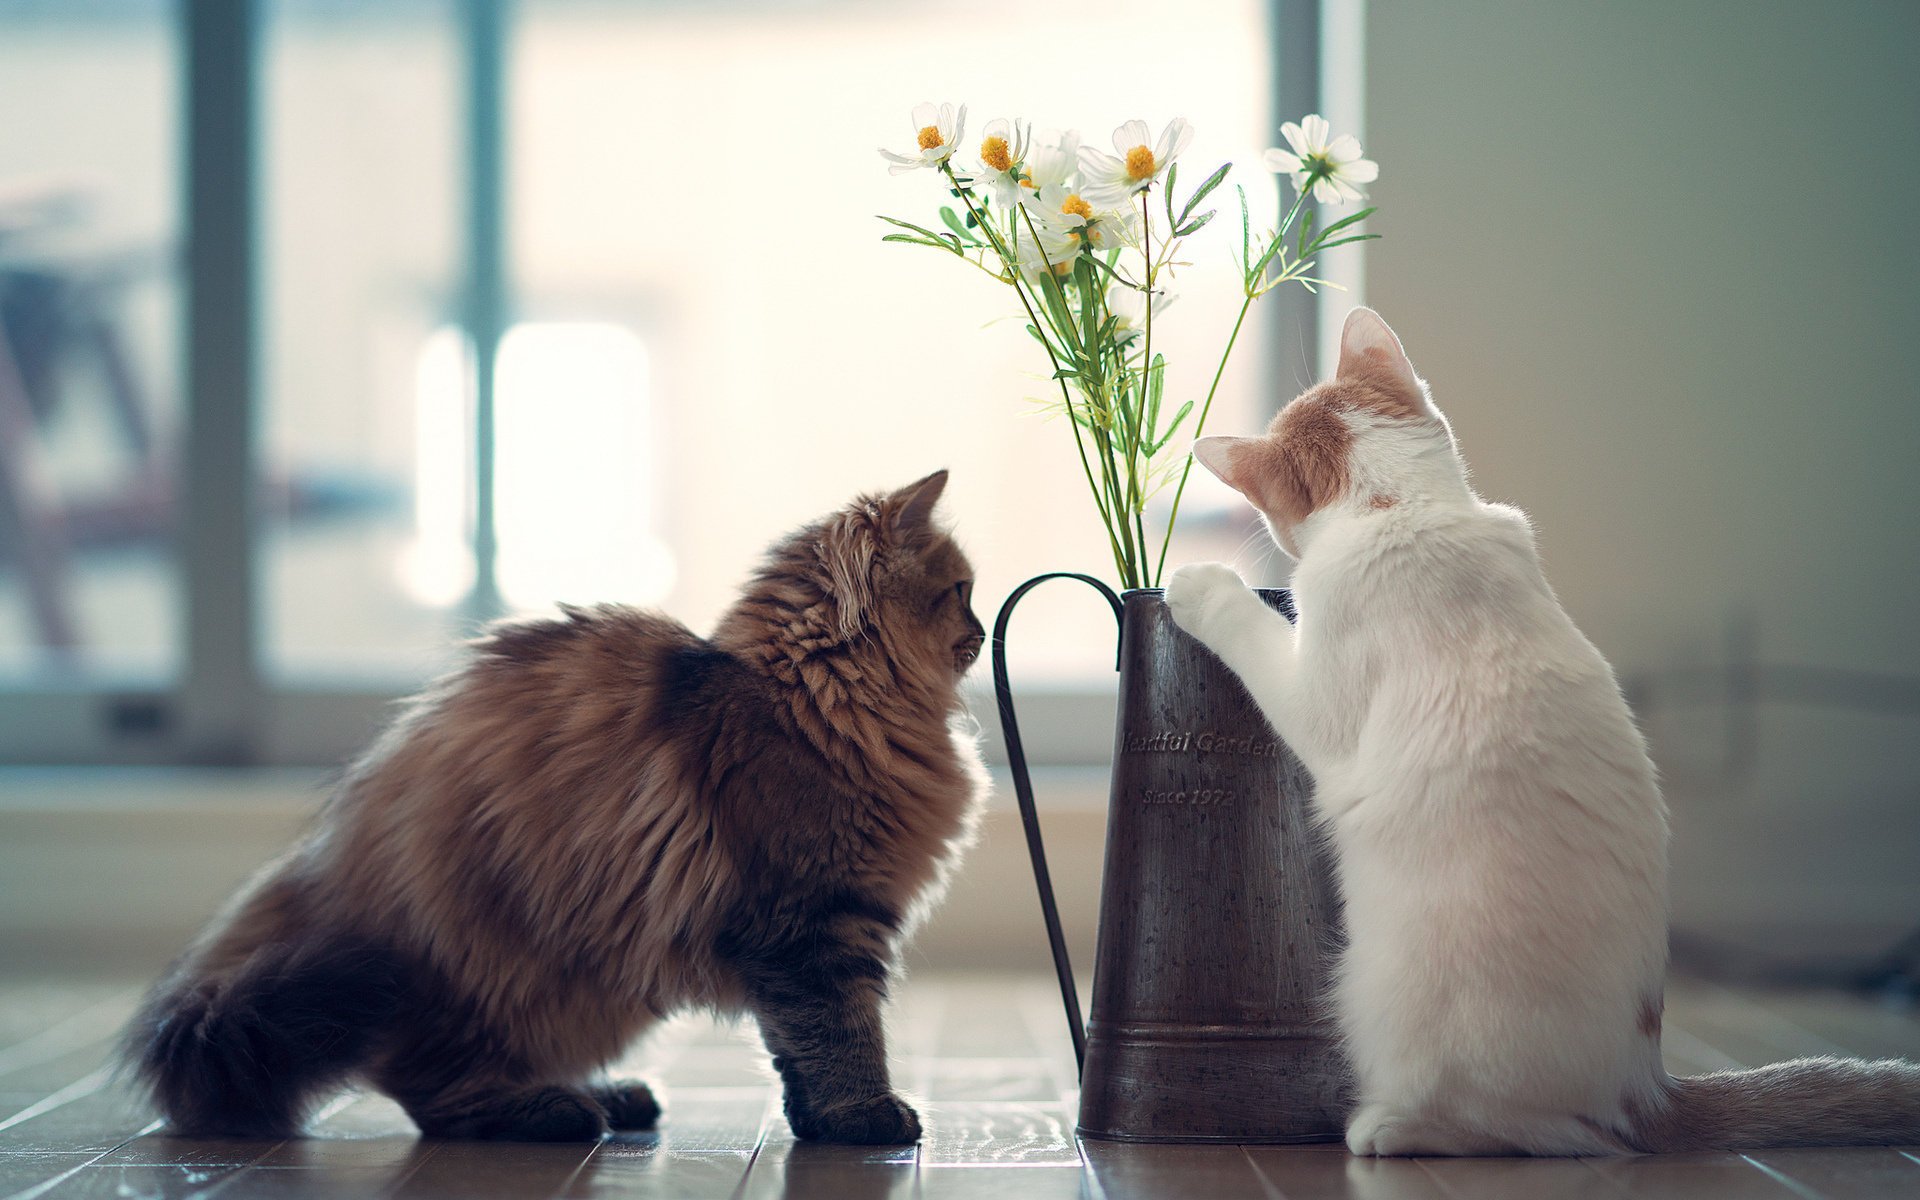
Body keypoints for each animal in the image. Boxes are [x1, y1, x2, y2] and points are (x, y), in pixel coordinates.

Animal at [127, 468, 983, 1144]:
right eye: (963, 592)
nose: (982, 630)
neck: (815, 702)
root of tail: (325, 875)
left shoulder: (817, 928)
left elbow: (798, 1052)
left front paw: (818, 1124)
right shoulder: (810, 924)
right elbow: (840, 1034)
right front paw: (865, 1120)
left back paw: (609, 1097)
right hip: (483, 967)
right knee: (428, 1094)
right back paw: (555, 1112)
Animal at [1167, 307, 1920, 1152]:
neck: (1401, 506)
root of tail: (1644, 1086)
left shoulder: (1314, 703)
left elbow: (1252, 628)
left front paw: (1202, 586)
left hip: (1380, 994)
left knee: (1518, 1130)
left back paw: (1384, 1128)